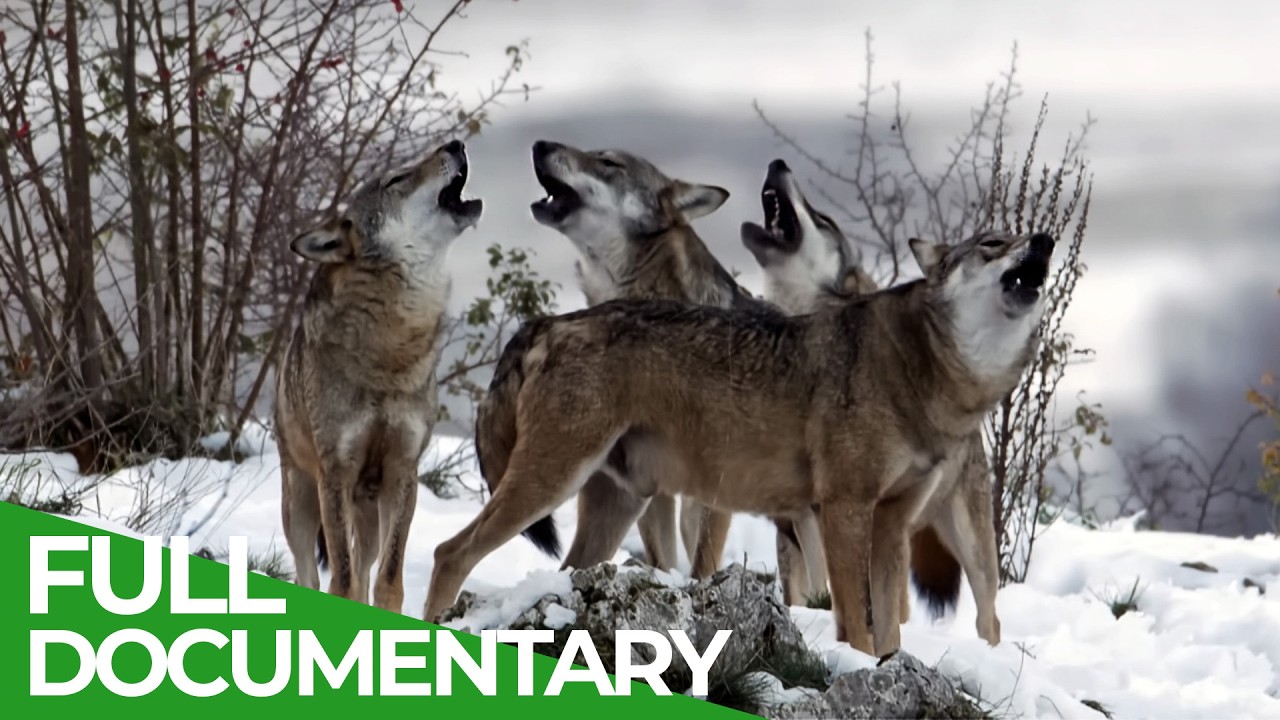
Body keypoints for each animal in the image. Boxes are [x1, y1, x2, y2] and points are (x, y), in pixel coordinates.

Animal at [275, 139, 482, 612]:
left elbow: (388, 578)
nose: (456, 143)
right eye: (396, 179)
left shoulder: (403, 472)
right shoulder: (336, 474)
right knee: (308, 574)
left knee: (365, 565)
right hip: (300, 504)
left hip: (367, 511)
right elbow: (342, 579)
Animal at [424, 215, 1053, 655]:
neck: (927, 368)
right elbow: (856, 622)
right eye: (993, 244)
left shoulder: (892, 523)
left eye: (1022, 237)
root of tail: (549, 322)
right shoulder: (843, 508)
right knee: (449, 551)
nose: (1046, 241)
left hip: (614, 507)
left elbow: (889, 632)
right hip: (550, 485)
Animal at [520, 139, 749, 578]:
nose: (540, 144)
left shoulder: (712, 492)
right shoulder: (651, 490)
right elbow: (664, 560)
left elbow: (703, 567)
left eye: (609, 162)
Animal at [741, 159, 998, 643]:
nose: (778, 163)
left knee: (986, 615)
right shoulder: (799, 519)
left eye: (823, 219)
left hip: (968, 540)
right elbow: (812, 593)